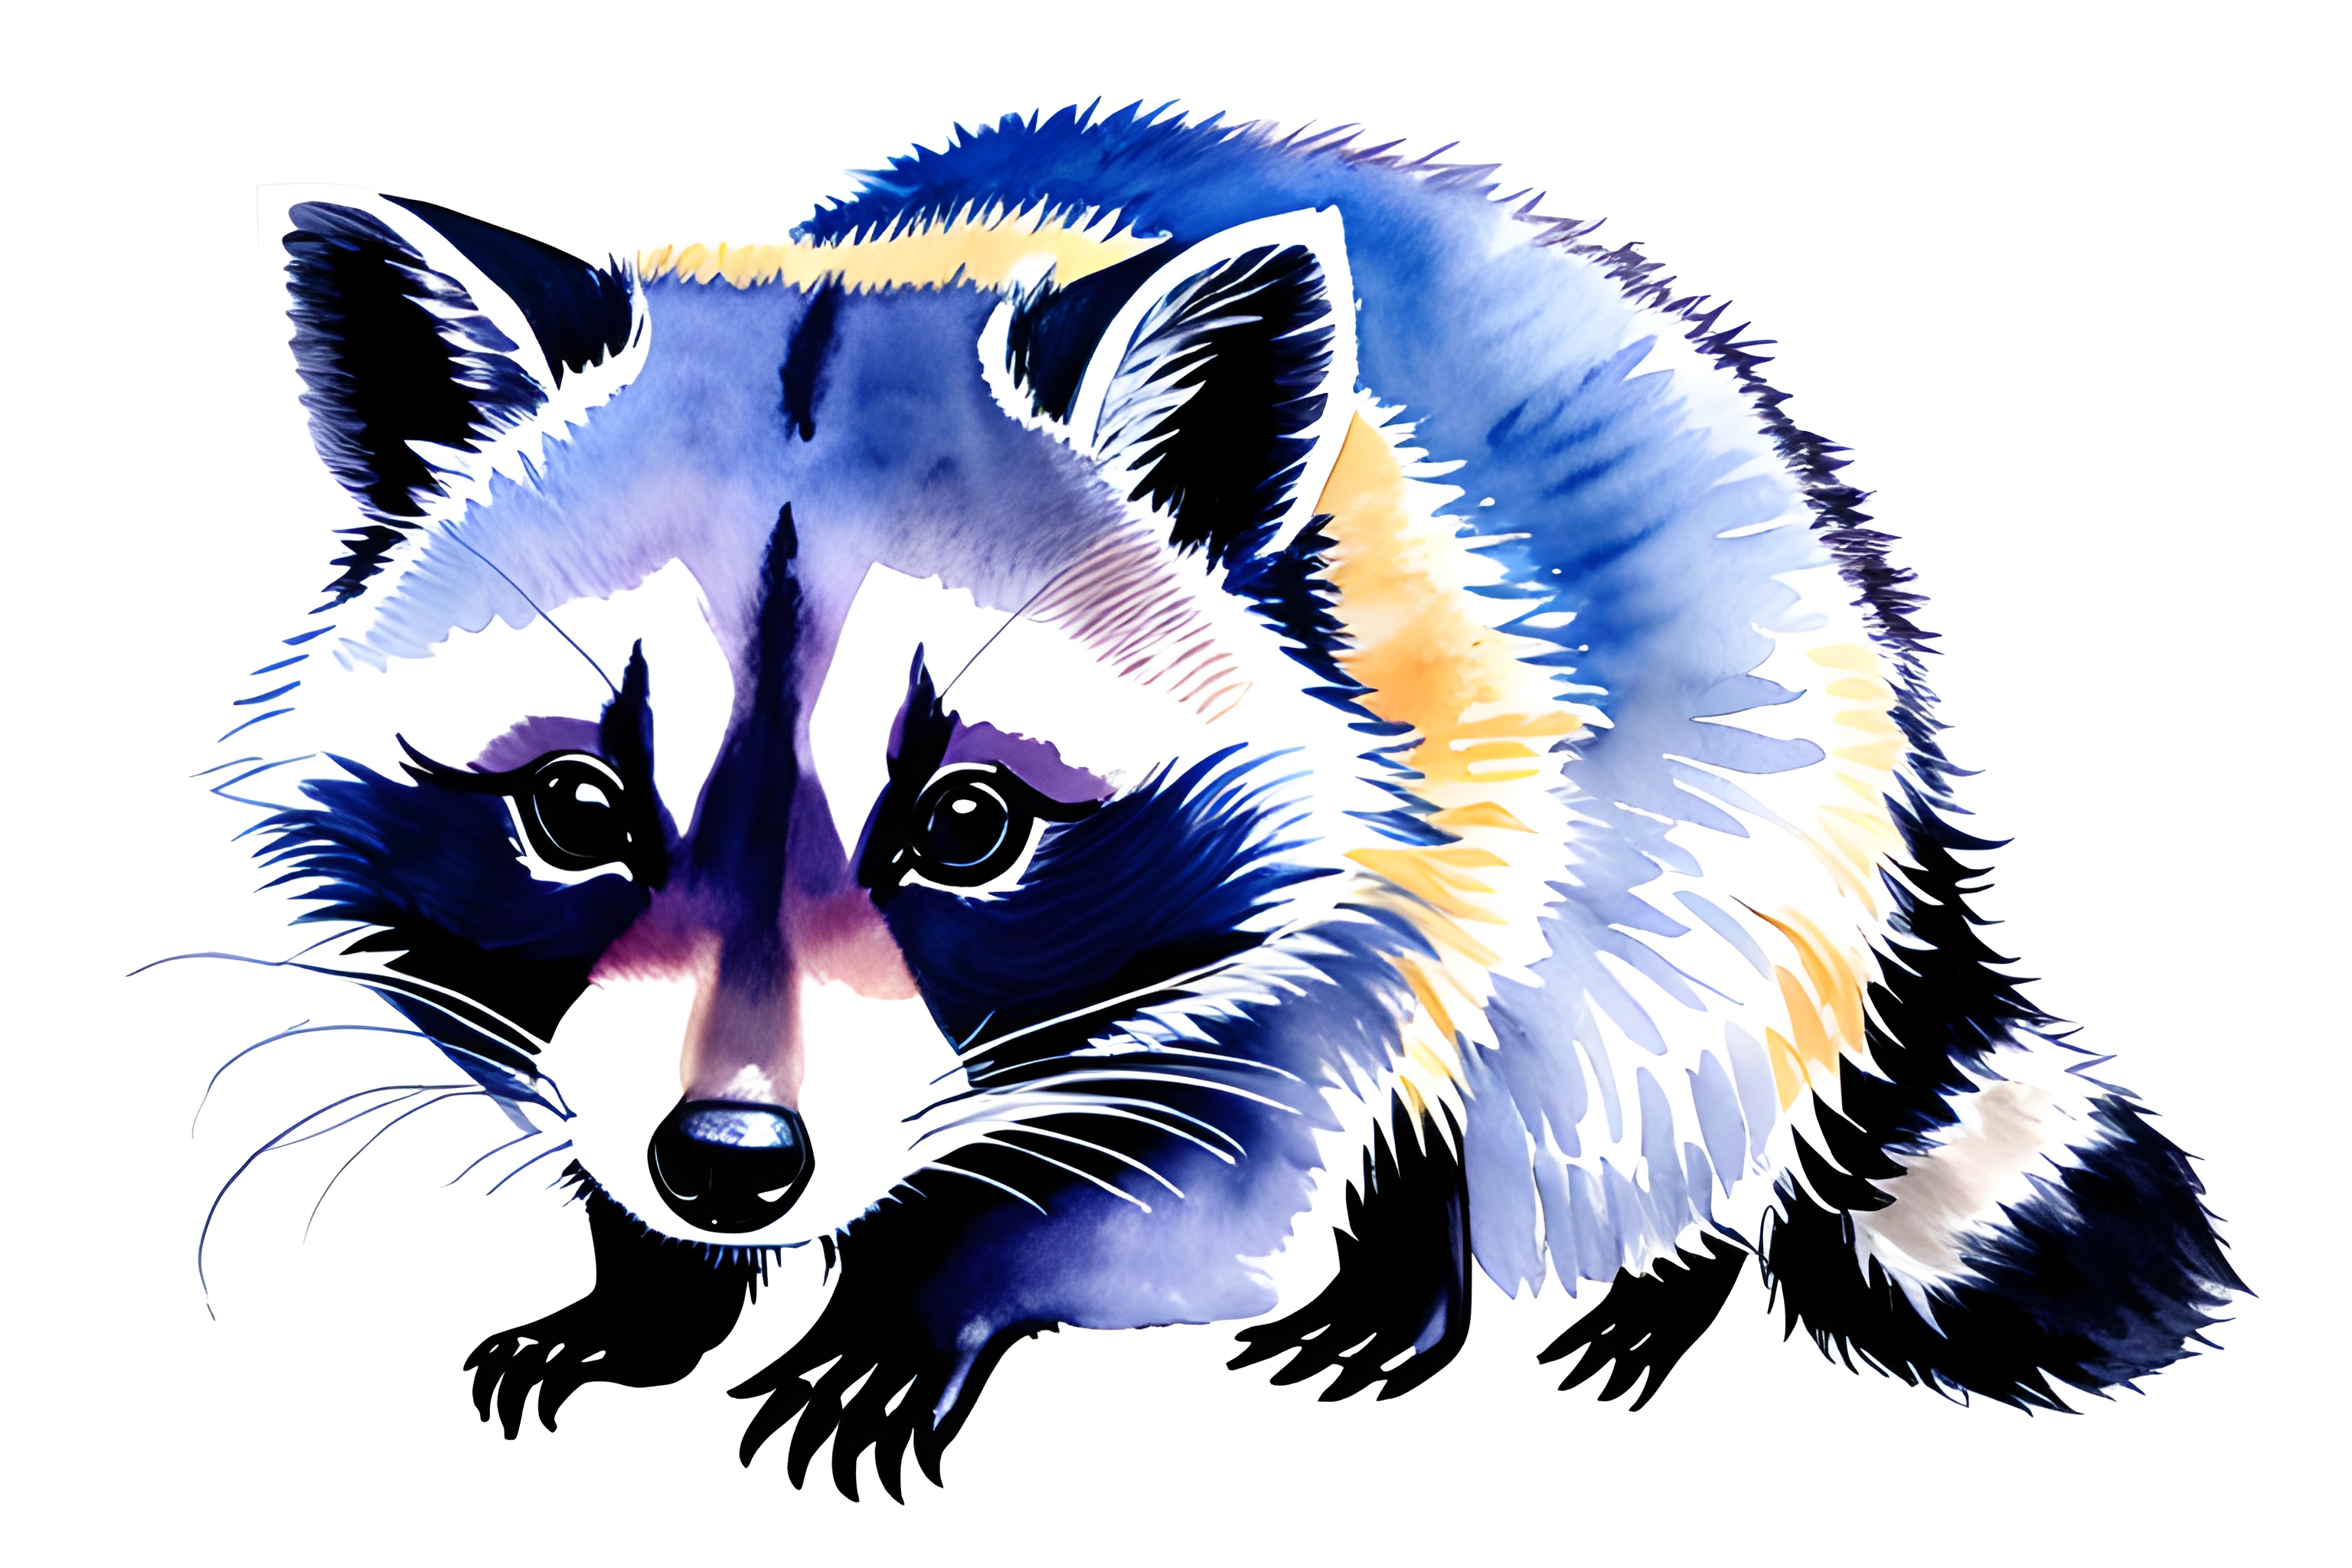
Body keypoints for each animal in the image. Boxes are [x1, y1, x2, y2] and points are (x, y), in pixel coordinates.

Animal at [210, 105, 2241, 1500]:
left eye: (967, 824)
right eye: (572, 805)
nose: (730, 1163)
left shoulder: (1373, 852)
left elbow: (1194, 1172)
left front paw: (919, 1300)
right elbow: (578, 1072)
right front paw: (646, 1285)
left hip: (1737, 803)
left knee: (1612, 1042)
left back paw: (1610, 1262)